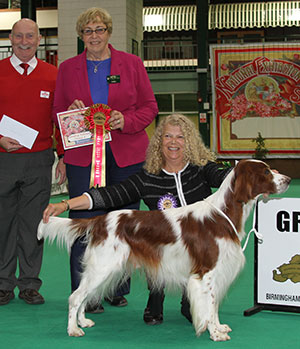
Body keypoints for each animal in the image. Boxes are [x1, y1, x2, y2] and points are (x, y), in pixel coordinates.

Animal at [37, 160, 290, 340]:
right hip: (104, 266)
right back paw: (73, 329)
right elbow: (209, 305)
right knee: (76, 296)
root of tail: (99, 220)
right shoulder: (206, 272)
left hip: (105, 269)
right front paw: (215, 333)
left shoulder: (217, 272)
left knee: (85, 295)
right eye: (266, 172)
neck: (223, 214)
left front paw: (219, 327)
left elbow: (214, 305)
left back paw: (83, 322)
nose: (287, 178)